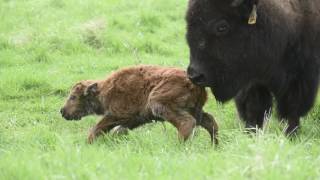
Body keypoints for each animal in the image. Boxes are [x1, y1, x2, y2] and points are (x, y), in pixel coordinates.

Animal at [60, 65, 219, 144]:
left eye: (73, 97)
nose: (62, 111)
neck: (104, 89)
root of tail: (195, 83)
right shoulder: (134, 120)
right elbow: (119, 131)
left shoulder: (116, 115)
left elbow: (98, 128)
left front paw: (88, 143)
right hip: (196, 110)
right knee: (209, 121)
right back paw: (215, 146)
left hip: (159, 103)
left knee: (187, 122)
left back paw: (178, 145)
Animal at [185, 0, 320, 135]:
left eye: (222, 27)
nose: (195, 76)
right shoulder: (252, 80)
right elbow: (254, 108)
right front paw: (251, 133)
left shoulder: (300, 77)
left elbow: (292, 109)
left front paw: (290, 134)